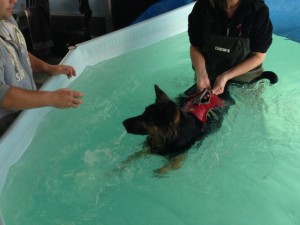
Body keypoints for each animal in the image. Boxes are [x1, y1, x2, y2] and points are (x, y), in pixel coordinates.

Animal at [120, 71, 278, 173]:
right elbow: (133, 156)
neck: (168, 137)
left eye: (149, 120)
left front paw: (159, 171)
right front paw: (120, 167)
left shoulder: (180, 155)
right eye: (143, 112)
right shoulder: (150, 146)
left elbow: (172, 166)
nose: (123, 123)